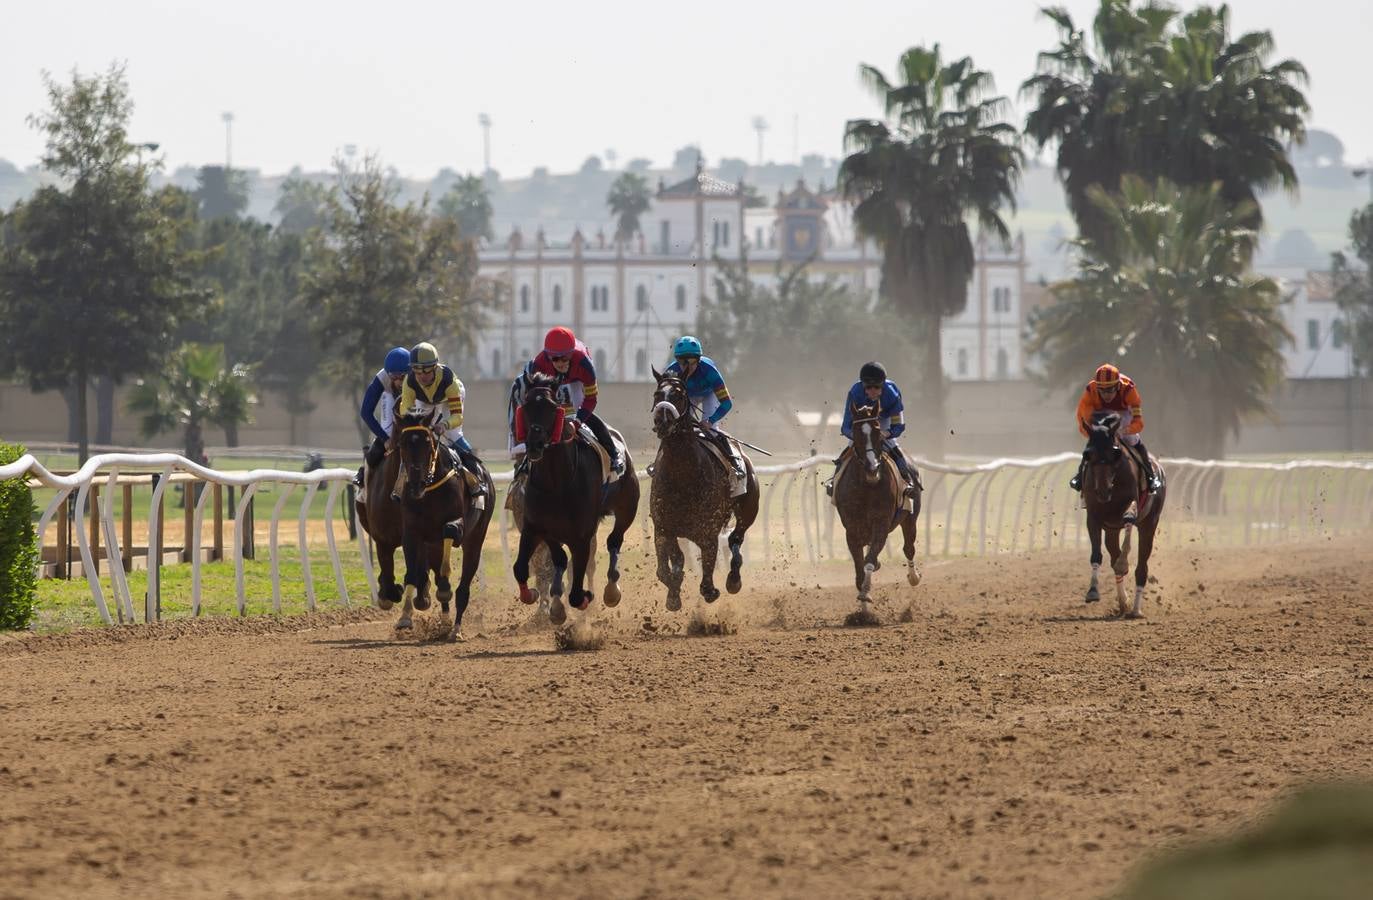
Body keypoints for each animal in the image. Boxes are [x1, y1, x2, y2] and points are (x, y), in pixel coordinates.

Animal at [392, 414, 494, 640]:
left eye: (428, 443)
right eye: (402, 444)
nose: (416, 484)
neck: (429, 492)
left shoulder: (458, 524)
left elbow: (451, 531)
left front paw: (445, 588)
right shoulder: (412, 531)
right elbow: (412, 573)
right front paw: (405, 617)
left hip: (475, 538)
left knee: (463, 586)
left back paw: (455, 629)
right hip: (433, 545)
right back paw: (445, 621)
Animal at [513, 373, 639, 626]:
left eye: (552, 408)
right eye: (527, 406)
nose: (535, 444)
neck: (556, 483)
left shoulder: (580, 536)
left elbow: (576, 591)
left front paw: (585, 598)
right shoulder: (536, 527)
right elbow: (523, 568)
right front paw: (534, 596)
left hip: (627, 508)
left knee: (614, 541)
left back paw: (611, 590)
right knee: (561, 561)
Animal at [823, 403, 922, 610]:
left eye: (877, 431)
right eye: (857, 433)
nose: (872, 468)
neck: (867, 485)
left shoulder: (881, 523)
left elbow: (868, 560)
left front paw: (865, 593)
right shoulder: (852, 528)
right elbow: (859, 564)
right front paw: (862, 596)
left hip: (910, 517)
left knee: (909, 548)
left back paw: (914, 577)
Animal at [1081, 409, 1169, 615]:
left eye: (1115, 453)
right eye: (1088, 454)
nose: (1103, 491)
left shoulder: (1132, 504)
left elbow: (1129, 518)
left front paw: (1123, 562)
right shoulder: (1094, 516)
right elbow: (1097, 554)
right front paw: (1093, 591)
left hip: (1150, 522)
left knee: (1141, 567)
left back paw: (1135, 609)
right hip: (1111, 529)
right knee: (1113, 555)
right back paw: (1124, 602)